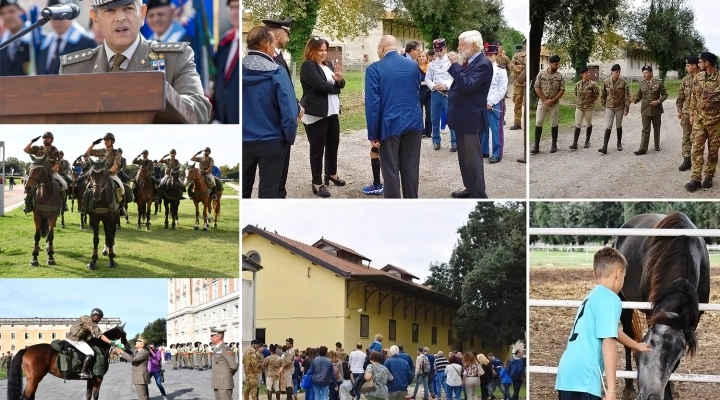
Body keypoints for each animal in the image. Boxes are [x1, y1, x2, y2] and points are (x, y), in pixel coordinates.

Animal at [612, 211, 708, 398]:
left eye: (680, 353)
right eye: (652, 343)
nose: (651, 395)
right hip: (624, 303)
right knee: (627, 337)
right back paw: (628, 387)